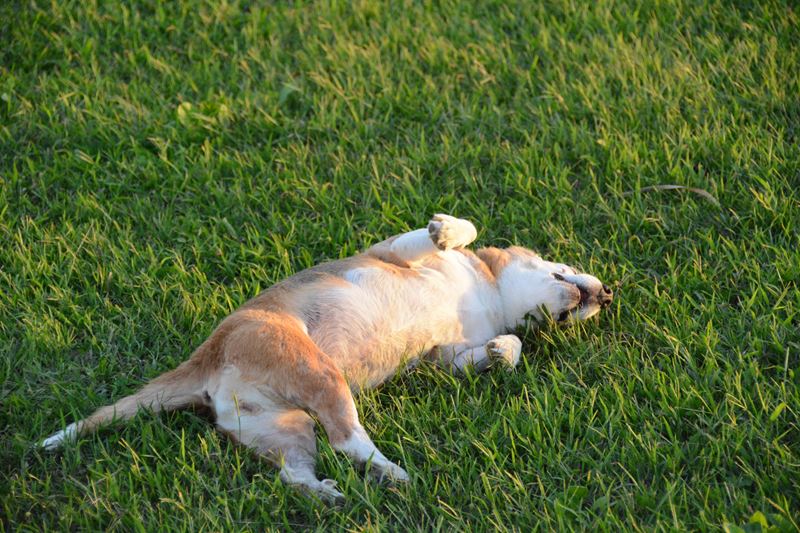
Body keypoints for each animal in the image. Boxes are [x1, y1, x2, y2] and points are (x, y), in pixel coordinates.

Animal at [41, 214, 613, 504]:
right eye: (563, 264)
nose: (608, 295)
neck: (488, 291)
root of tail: (211, 356)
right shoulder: (394, 251)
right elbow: (455, 232)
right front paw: (447, 229)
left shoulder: (442, 355)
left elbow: (500, 349)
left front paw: (502, 351)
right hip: (319, 373)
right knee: (348, 439)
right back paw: (394, 474)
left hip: (284, 427)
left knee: (299, 470)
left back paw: (329, 492)